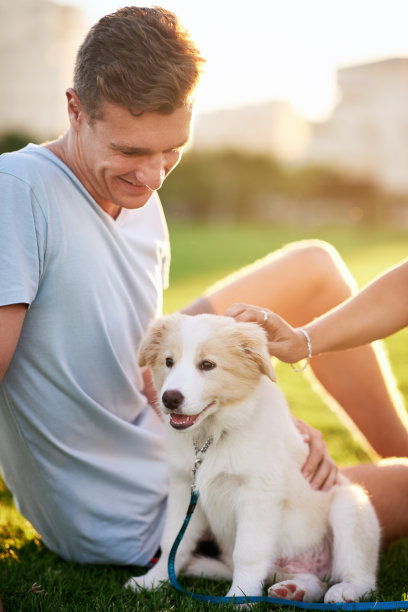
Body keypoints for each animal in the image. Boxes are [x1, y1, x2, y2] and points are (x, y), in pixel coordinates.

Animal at [126, 316, 380, 604]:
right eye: (168, 361)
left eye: (207, 365)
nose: (169, 398)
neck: (212, 437)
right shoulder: (183, 489)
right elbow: (173, 543)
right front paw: (153, 580)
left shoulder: (258, 494)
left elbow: (247, 552)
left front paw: (240, 596)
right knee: (313, 581)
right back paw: (294, 589)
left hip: (349, 506)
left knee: (363, 581)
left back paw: (345, 591)